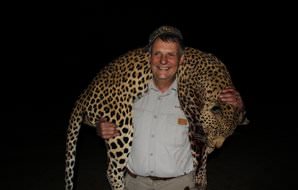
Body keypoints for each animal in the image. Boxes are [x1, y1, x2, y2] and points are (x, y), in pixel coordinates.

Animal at [64, 46, 242, 190]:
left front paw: (202, 177)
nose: (218, 147)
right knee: (112, 170)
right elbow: (197, 152)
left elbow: (202, 153)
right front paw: (198, 173)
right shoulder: (192, 115)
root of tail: (84, 94)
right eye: (217, 130)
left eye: (228, 135)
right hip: (121, 124)